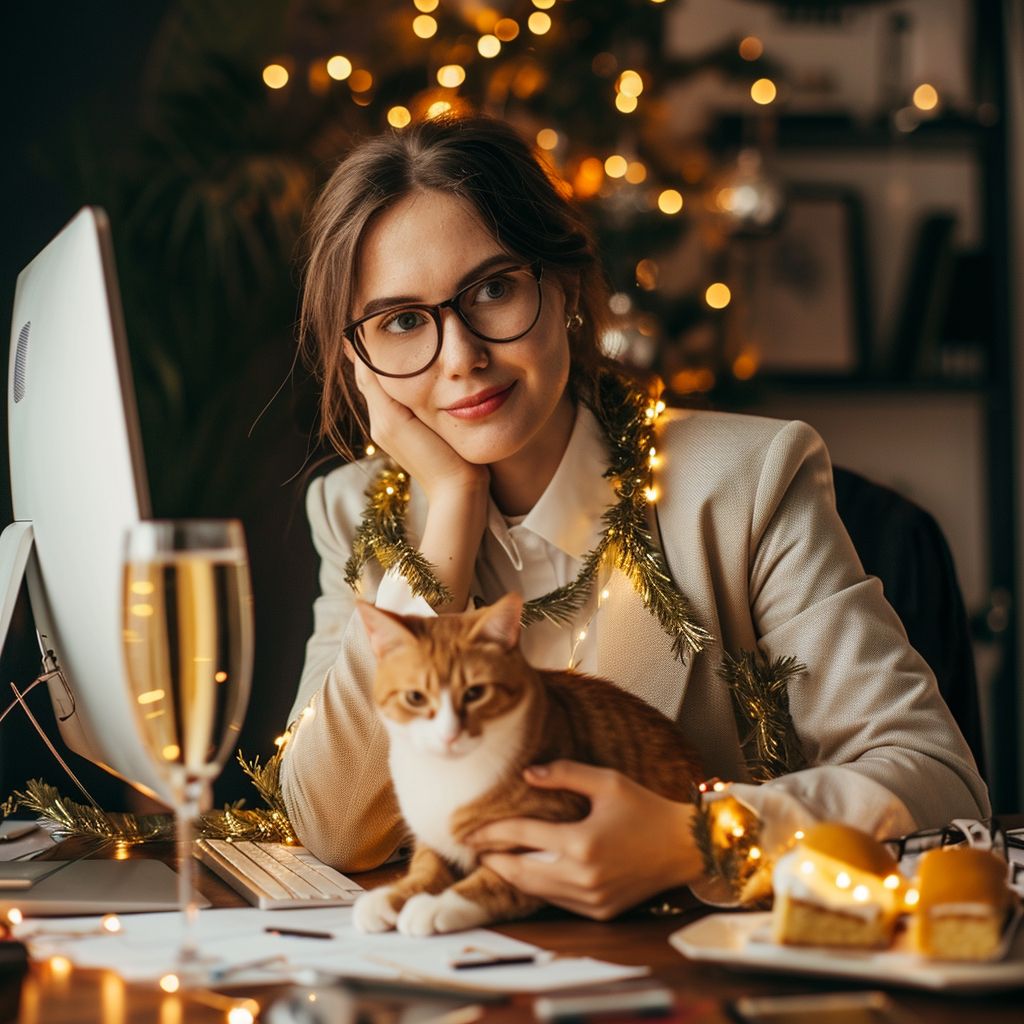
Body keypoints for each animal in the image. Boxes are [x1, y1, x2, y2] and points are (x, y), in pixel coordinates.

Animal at [352, 593, 704, 937]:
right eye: (415, 698)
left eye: (475, 693)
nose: (448, 735)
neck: (446, 776)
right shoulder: (432, 833)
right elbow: (425, 866)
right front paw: (395, 894)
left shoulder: (551, 849)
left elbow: (496, 883)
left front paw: (437, 905)